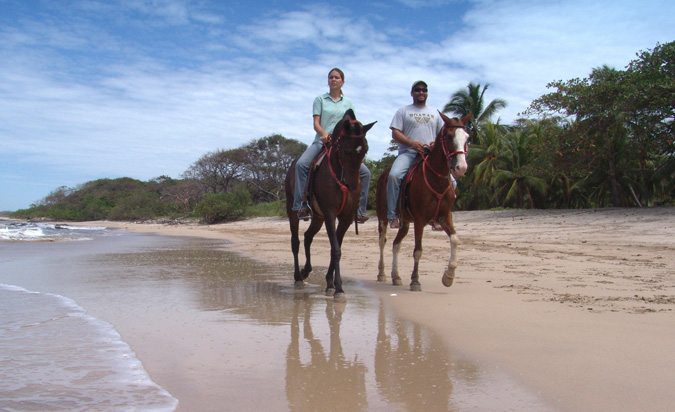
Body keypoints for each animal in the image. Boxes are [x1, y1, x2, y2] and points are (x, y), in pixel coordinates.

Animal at [284, 109, 378, 300]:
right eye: (345, 150)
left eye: (365, 150)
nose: (352, 186)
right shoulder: (330, 214)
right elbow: (335, 249)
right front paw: (339, 288)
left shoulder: (346, 217)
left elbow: (337, 247)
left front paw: (330, 283)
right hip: (293, 211)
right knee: (295, 241)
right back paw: (298, 277)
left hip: (317, 217)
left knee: (308, 237)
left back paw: (306, 271)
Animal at [374, 112, 470, 292]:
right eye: (449, 136)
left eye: (467, 137)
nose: (461, 167)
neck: (436, 179)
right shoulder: (419, 220)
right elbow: (418, 250)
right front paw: (415, 281)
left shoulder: (445, 216)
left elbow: (455, 240)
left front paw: (448, 276)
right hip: (383, 217)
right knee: (382, 242)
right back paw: (382, 273)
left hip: (405, 223)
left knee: (396, 244)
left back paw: (396, 276)